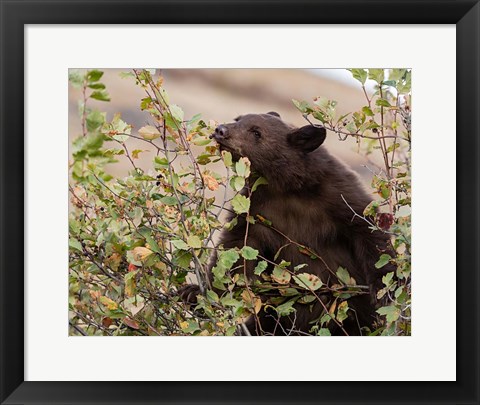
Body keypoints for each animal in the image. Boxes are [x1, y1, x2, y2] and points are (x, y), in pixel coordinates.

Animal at [180, 110, 394, 334]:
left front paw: (384, 289)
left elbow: (367, 228)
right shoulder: (255, 209)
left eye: (256, 132)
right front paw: (195, 292)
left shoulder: (337, 194)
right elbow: (236, 249)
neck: (285, 187)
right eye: (238, 119)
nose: (221, 130)